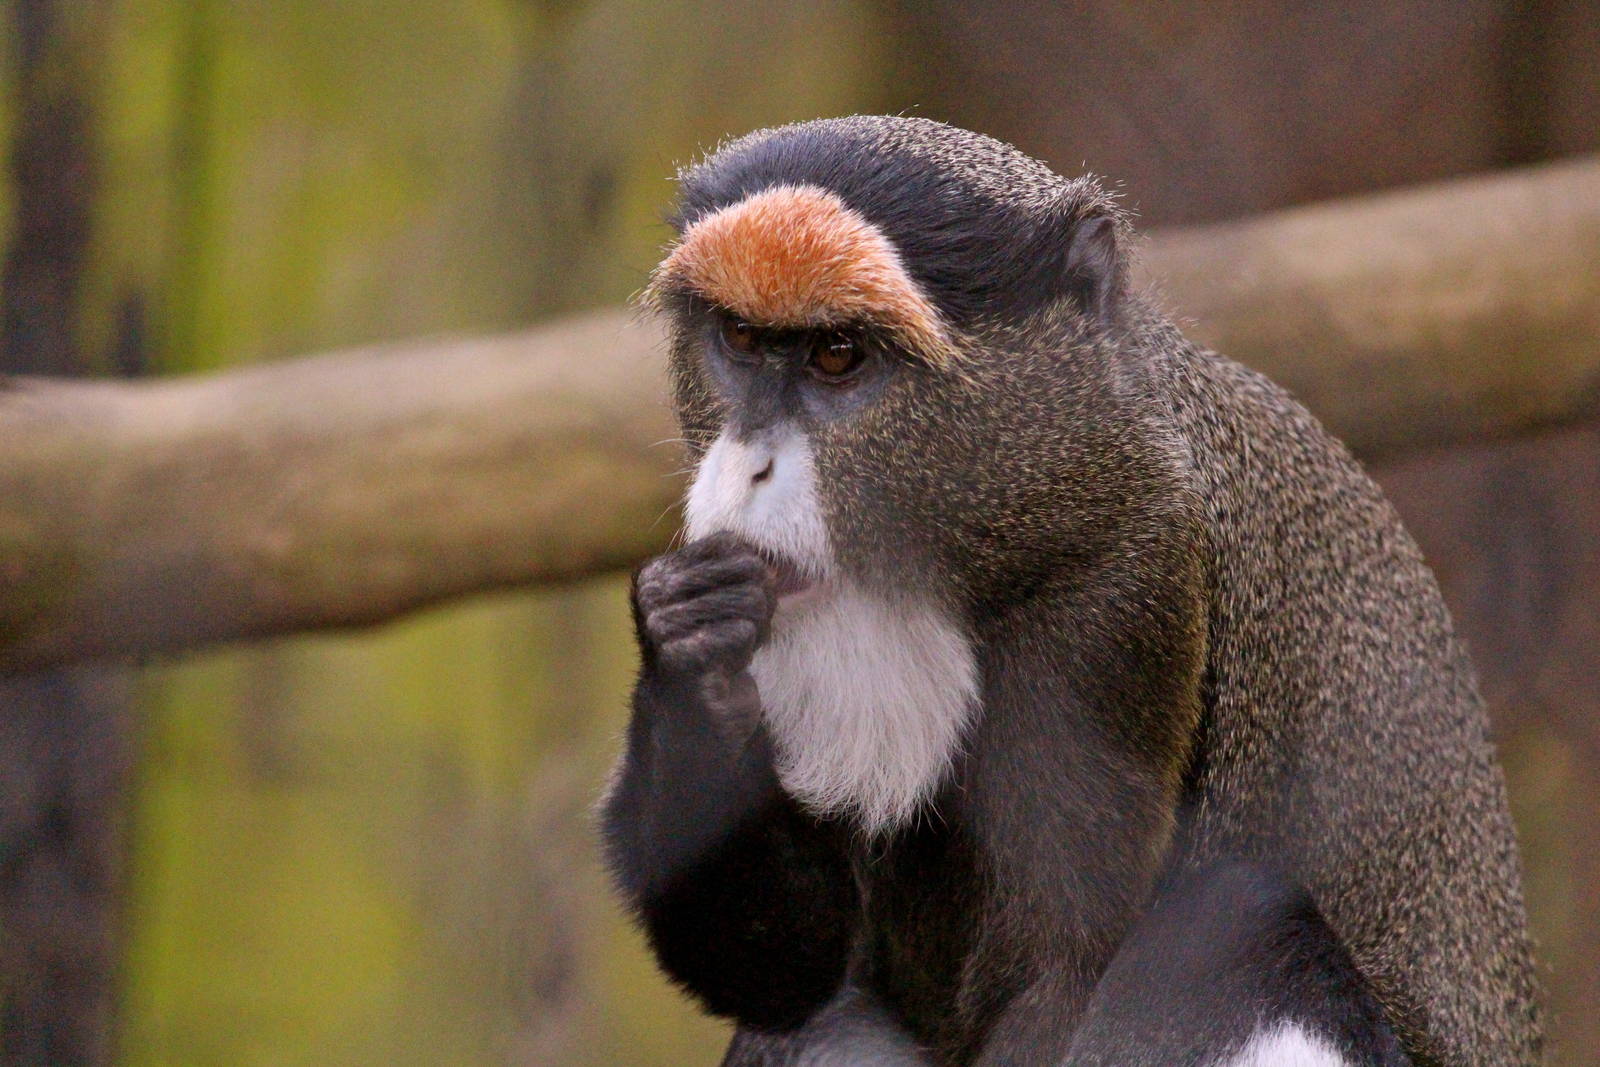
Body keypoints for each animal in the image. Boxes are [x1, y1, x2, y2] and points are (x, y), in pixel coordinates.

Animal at [600, 116, 1540, 1066]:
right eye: (740, 340)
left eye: (837, 356)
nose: (748, 466)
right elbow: (795, 970)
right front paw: (688, 641)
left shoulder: (1127, 589)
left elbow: (1062, 968)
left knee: (1240, 919)